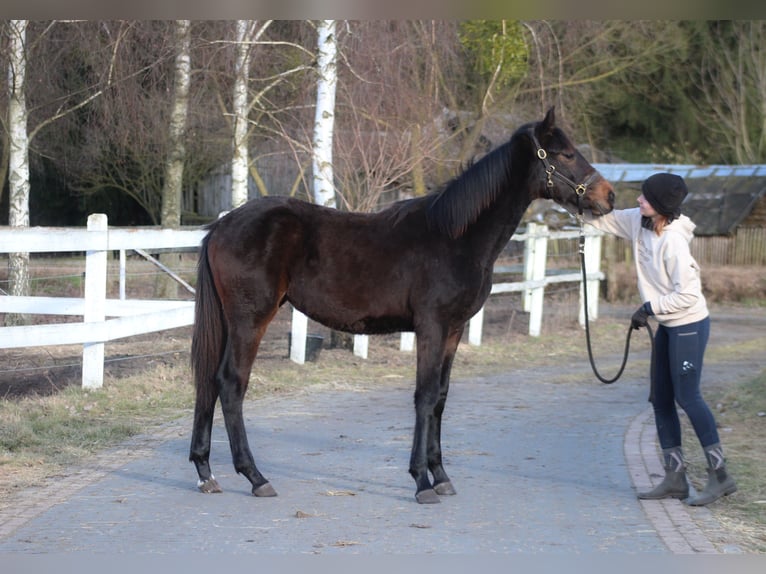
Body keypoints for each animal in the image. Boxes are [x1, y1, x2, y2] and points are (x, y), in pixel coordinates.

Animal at [189, 107, 615, 504]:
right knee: (231, 383)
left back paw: (206, 472)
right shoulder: (431, 327)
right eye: (564, 154)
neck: (454, 236)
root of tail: (221, 226)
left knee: (209, 380)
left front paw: (441, 477)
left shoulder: (454, 330)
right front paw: (421, 482)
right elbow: (423, 397)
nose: (608, 196)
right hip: (250, 320)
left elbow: (440, 397)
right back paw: (255, 477)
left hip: (229, 321)